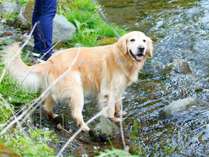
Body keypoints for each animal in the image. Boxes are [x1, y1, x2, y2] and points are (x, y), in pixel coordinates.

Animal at [3, 31, 153, 131]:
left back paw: (53, 116)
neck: (122, 58)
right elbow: (110, 108)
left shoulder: (119, 89)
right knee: (76, 113)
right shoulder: (108, 91)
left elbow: (119, 104)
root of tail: (50, 61)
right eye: (132, 40)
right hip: (76, 90)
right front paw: (114, 119)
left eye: (144, 41)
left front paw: (120, 114)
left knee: (47, 106)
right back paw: (85, 127)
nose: (141, 48)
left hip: (53, 90)